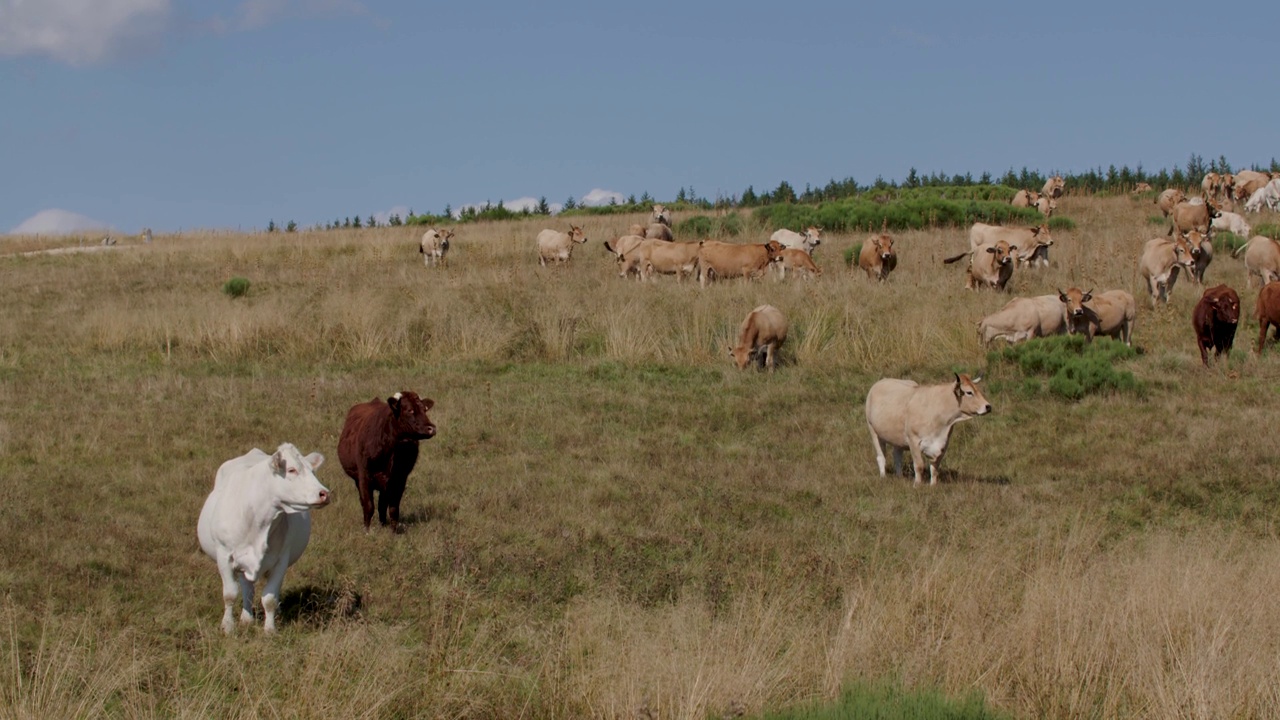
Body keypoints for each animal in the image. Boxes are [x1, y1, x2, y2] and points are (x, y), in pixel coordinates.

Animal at [197, 440, 332, 630]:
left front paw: (270, 629)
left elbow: (269, 598)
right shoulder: (224, 555)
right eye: (291, 470)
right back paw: (246, 618)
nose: (324, 493)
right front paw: (228, 626)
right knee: (247, 588)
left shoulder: (281, 560)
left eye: (313, 471)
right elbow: (230, 594)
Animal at [337, 389, 437, 530]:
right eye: (410, 410)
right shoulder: (364, 476)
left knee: (382, 504)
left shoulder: (400, 478)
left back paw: (383, 523)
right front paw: (366, 530)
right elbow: (368, 505)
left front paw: (393, 530)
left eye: (424, 409)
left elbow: (393, 508)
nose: (431, 428)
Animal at [865, 371, 993, 484]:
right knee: (881, 457)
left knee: (897, 456)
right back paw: (883, 477)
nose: (988, 406)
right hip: (873, 430)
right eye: (969, 392)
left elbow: (935, 467)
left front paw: (933, 485)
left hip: (897, 438)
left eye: (977, 390)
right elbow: (919, 466)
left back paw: (899, 476)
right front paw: (917, 484)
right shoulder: (914, 440)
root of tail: (882, 381)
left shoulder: (943, 443)